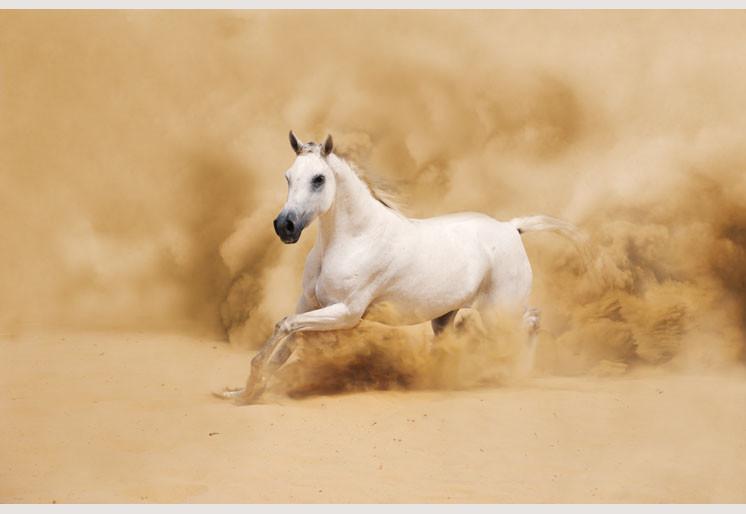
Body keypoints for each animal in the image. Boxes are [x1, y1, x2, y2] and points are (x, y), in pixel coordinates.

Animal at [216, 131, 584, 404]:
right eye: (288, 177)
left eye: (318, 179)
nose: (285, 226)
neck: (355, 237)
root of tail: (511, 227)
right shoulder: (310, 306)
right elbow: (285, 340)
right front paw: (244, 392)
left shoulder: (346, 313)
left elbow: (284, 326)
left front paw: (249, 387)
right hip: (444, 318)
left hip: (499, 312)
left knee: (531, 321)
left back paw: (517, 372)